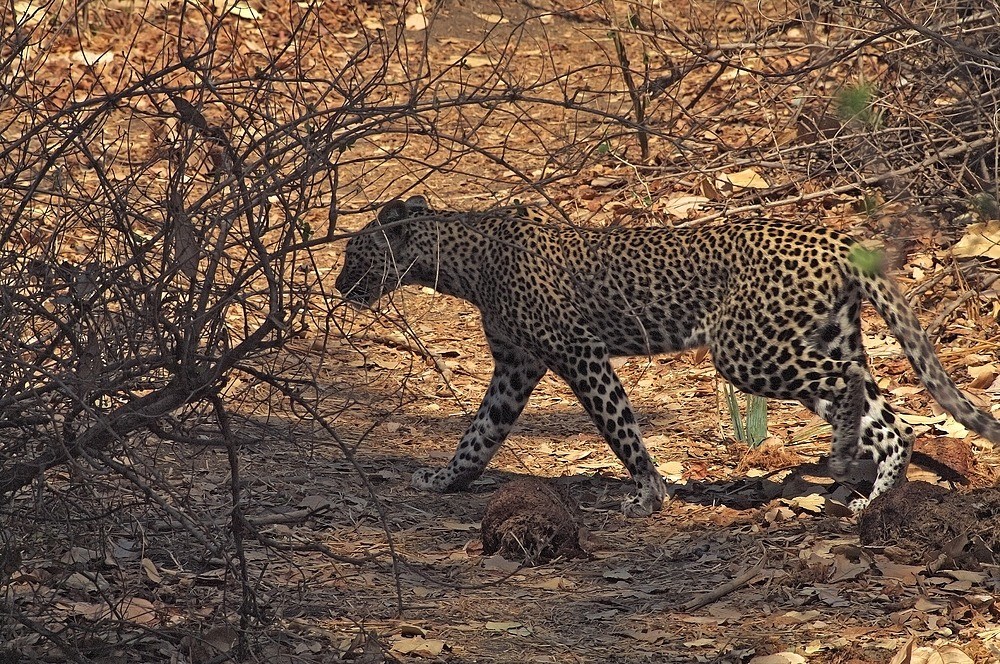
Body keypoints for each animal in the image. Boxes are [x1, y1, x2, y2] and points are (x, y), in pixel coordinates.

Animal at [338, 195, 1000, 516]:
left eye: (351, 255)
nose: (341, 286)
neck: (461, 264)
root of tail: (833, 236)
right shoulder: (515, 367)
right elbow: (478, 435)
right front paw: (444, 480)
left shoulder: (579, 352)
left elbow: (619, 427)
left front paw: (650, 493)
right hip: (816, 337)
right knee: (887, 415)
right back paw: (870, 494)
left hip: (746, 350)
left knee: (852, 383)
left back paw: (847, 472)